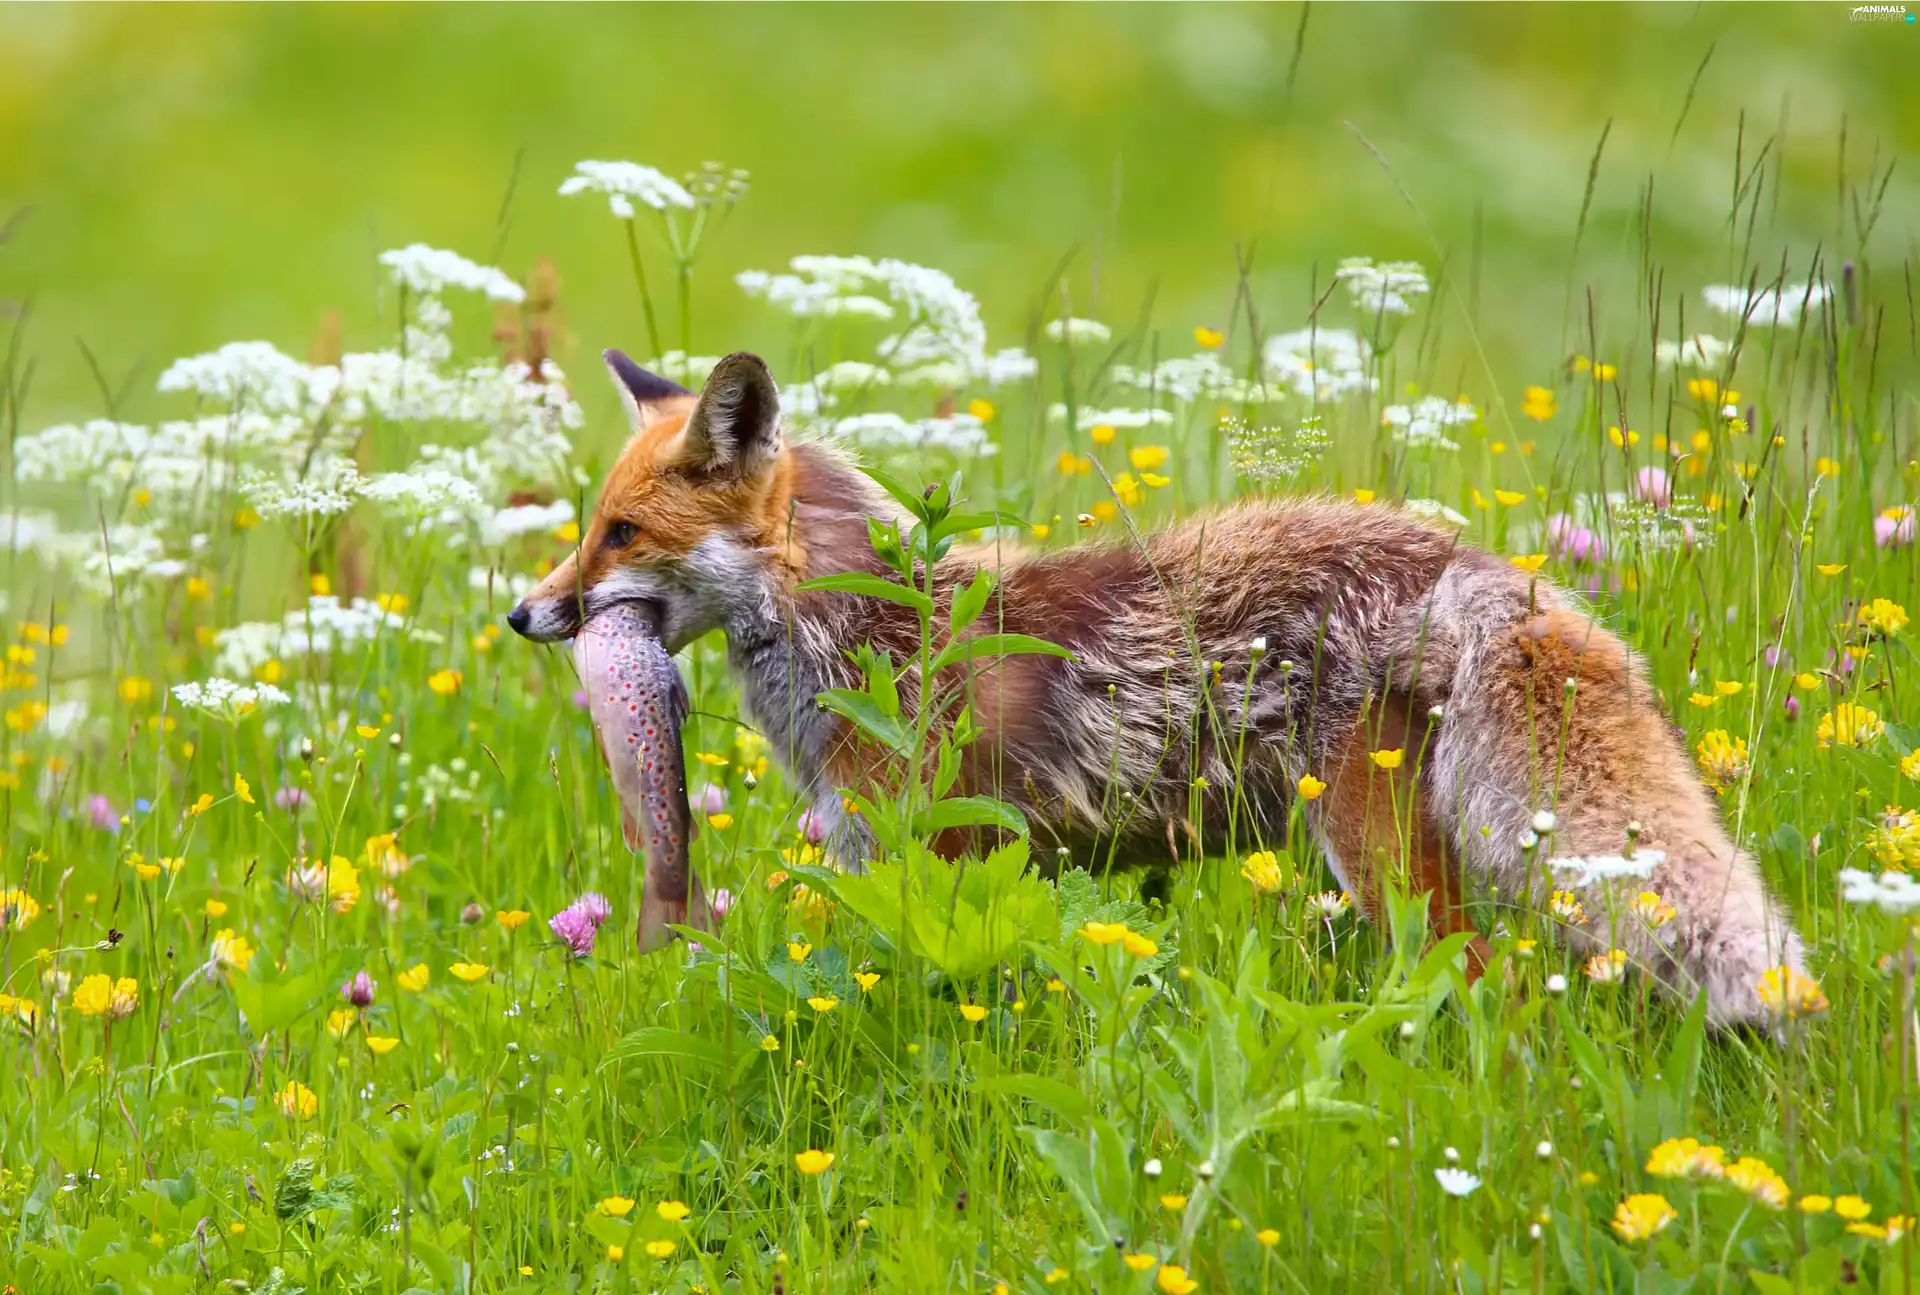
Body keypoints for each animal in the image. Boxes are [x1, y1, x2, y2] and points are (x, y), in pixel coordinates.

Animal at [508, 348, 1807, 1028]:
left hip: (1376, 857)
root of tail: (1471, 565)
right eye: (587, 528)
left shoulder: (941, 856)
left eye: (620, 534)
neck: (871, 634)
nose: (524, 614)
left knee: (1486, 983)